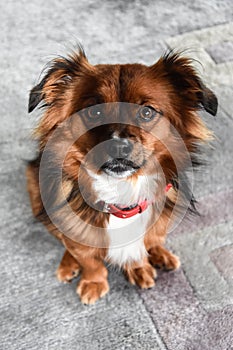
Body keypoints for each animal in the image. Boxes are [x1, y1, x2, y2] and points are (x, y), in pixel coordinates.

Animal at [26, 47, 218, 304]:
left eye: (147, 112)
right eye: (94, 111)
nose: (118, 146)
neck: (122, 193)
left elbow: (139, 248)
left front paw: (138, 268)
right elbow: (88, 259)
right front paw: (93, 282)